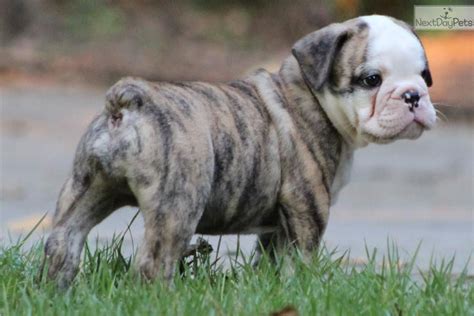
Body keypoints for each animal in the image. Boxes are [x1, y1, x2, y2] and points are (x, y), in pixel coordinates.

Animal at [42, 14, 436, 286]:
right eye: (371, 80)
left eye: (424, 76)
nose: (413, 96)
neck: (311, 95)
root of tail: (128, 102)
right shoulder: (307, 209)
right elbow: (300, 259)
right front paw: (301, 288)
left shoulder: (278, 224)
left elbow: (272, 261)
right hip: (177, 208)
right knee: (153, 264)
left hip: (86, 189)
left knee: (64, 241)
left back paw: (57, 291)